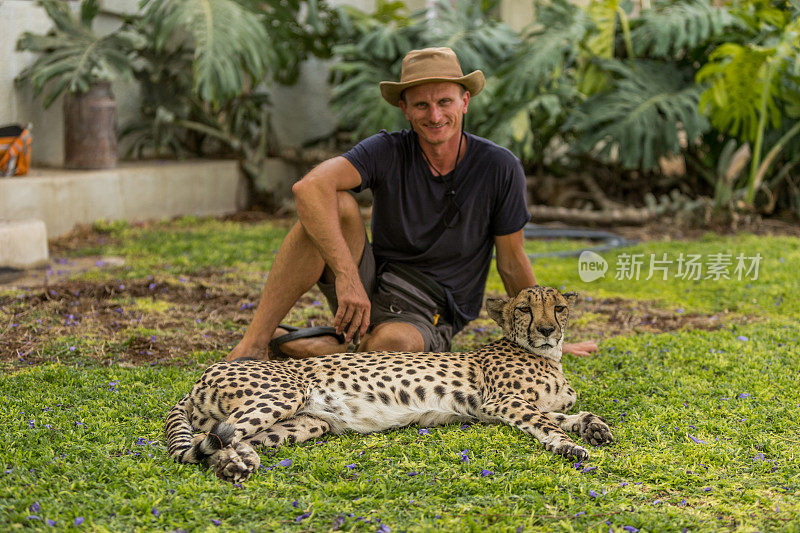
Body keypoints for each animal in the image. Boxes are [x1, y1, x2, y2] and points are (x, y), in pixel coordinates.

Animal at [164, 286, 612, 482]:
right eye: (524, 309)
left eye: (559, 308)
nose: (547, 329)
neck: (547, 355)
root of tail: (201, 377)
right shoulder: (500, 403)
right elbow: (548, 423)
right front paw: (570, 447)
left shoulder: (521, 406)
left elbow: (569, 414)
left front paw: (593, 428)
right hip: (284, 394)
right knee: (209, 439)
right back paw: (231, 465)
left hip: (307, 423)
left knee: (225, 439)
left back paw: (237, 462)